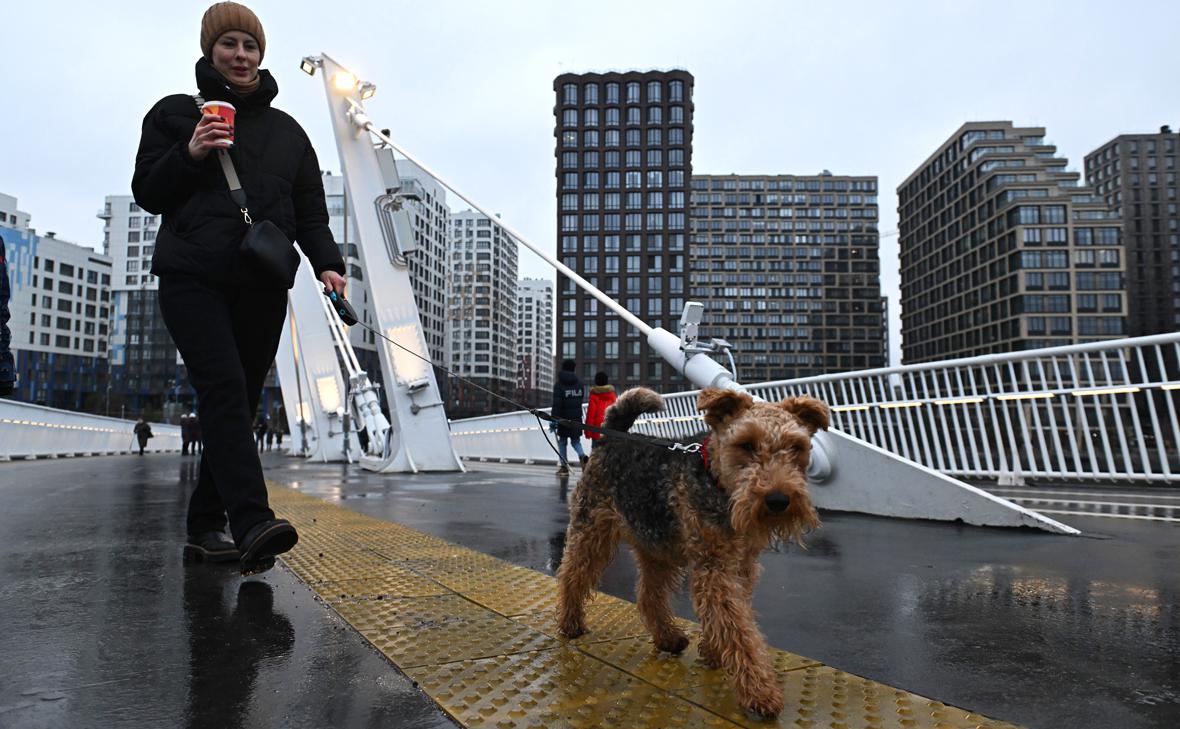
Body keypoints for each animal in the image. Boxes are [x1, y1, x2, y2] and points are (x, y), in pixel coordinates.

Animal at [554, 386, 825, 717]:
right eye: (746, 444)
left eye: (796, 446)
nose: (778, 500)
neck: (719, 483)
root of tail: (612, 438)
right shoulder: (714, 567)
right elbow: (739, 629)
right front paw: (761, 693)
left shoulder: (741, 566)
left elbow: (732, 618)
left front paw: (712, 651)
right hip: (592, 532)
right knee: (572, 575)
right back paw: (571, 624)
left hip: (656, 546)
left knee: (648, 594)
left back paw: (668, 638)